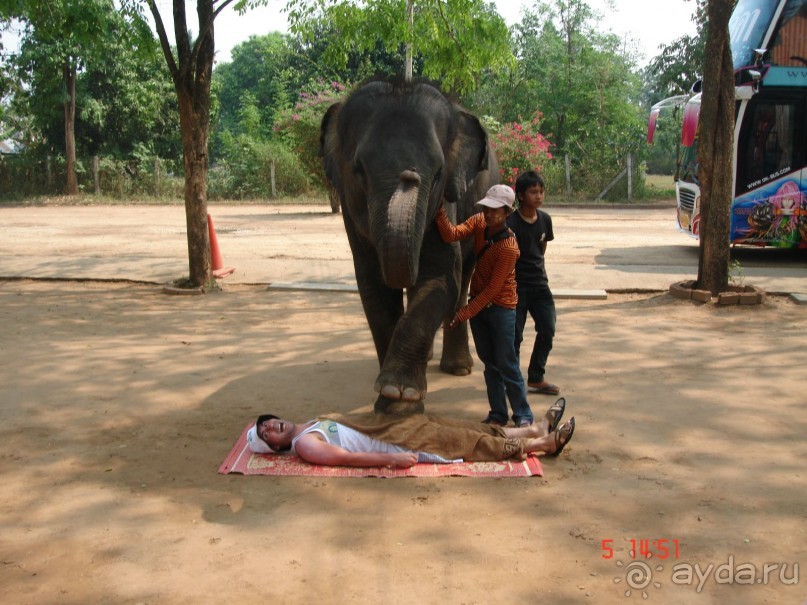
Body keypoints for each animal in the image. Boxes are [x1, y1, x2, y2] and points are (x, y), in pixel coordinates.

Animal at [320, 76, 498, 416]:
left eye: (439, 171)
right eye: (359, 169)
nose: (409, 175)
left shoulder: (448, 202)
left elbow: (442, 278)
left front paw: (402, 396)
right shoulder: (351, 212)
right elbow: (373, 288)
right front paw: (391, 401)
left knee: (463, 281)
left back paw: (458, 368)